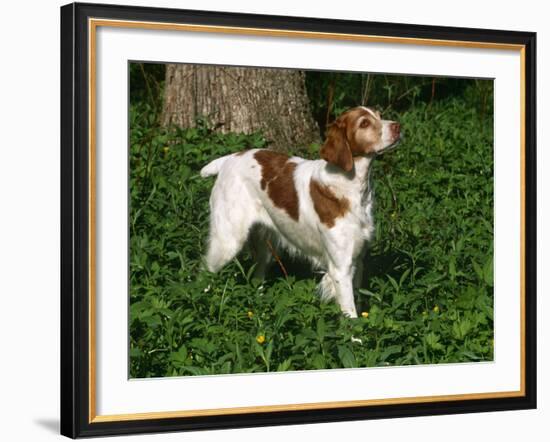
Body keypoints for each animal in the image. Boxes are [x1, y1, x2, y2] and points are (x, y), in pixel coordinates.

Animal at [201, 105, 404, 316]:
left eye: (379, 116)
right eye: (364, 123)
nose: (398, 126)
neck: (350, 186)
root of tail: (229, 159)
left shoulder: (358, 259)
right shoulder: (340, 269)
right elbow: (351, 315)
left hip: (265, 246)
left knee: (257, 277)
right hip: (228, 241)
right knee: (205, 271)